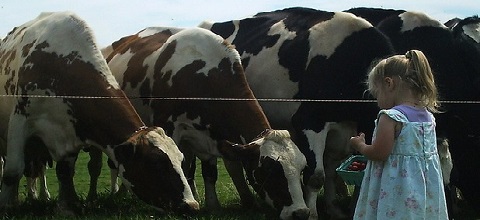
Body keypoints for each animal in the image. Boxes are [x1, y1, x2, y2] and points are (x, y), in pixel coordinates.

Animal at [0, 11, 199, 214]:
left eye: (181, 159)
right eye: (155, 163)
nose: (191, 205)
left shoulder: (71, 128)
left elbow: (64, 172)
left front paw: (65, 207)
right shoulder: (20, 120)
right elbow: (12, 171)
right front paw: (7, 206)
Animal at [101, 26, 310, 219]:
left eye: (302, 169)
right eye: (269, 170)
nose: (300, 212)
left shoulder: (209, 135)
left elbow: (209, 172)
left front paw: (212, 205)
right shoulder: (171, 129)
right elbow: (181, 168)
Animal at [198, 6, 394, 218]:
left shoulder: (342, 132)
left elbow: (331, 171)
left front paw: (333, 208)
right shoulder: (310, 123)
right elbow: (316, 176)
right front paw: (314, 214)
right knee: (229, 163)